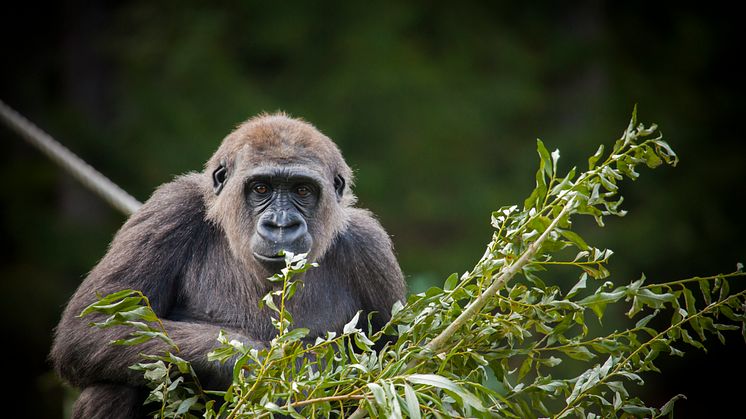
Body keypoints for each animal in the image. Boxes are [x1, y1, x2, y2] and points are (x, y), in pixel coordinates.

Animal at [49, 113, 404, 418]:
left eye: (303, 190)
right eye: (261, 188)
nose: (281, 224)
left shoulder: (370, 249)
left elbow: (395, 361)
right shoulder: (170, 209)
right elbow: (95, 324)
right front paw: (257, 365)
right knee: (112, 384)